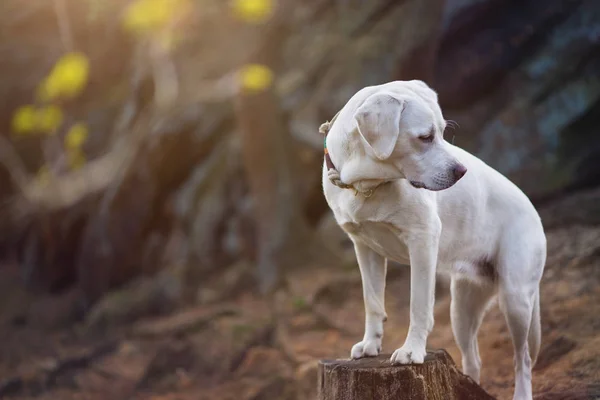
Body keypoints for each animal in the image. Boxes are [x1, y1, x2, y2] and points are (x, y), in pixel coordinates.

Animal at [322, 79, 548, 398]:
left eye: (442, 132)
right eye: (425, 137)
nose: (462, 171)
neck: (367, 184)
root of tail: (533, 210)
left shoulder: (422, 241)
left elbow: (419, 306)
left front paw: (411, 351)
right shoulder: (365, 248)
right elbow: (372, 302)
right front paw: (370, 345)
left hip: (516, 300)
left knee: (523, 359)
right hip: (462, 310)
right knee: (474, 359)